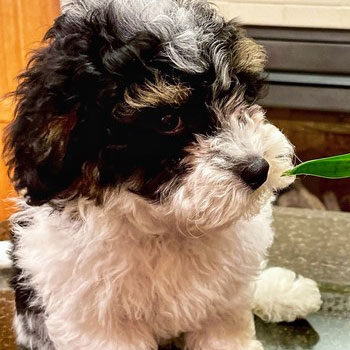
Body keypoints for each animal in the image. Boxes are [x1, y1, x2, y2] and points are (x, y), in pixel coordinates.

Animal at [4, 0, 322, 350]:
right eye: (168, 120)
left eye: (240, 88)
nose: (258, 169)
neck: (170, 224)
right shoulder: (97, 320)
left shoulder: (223, 304)